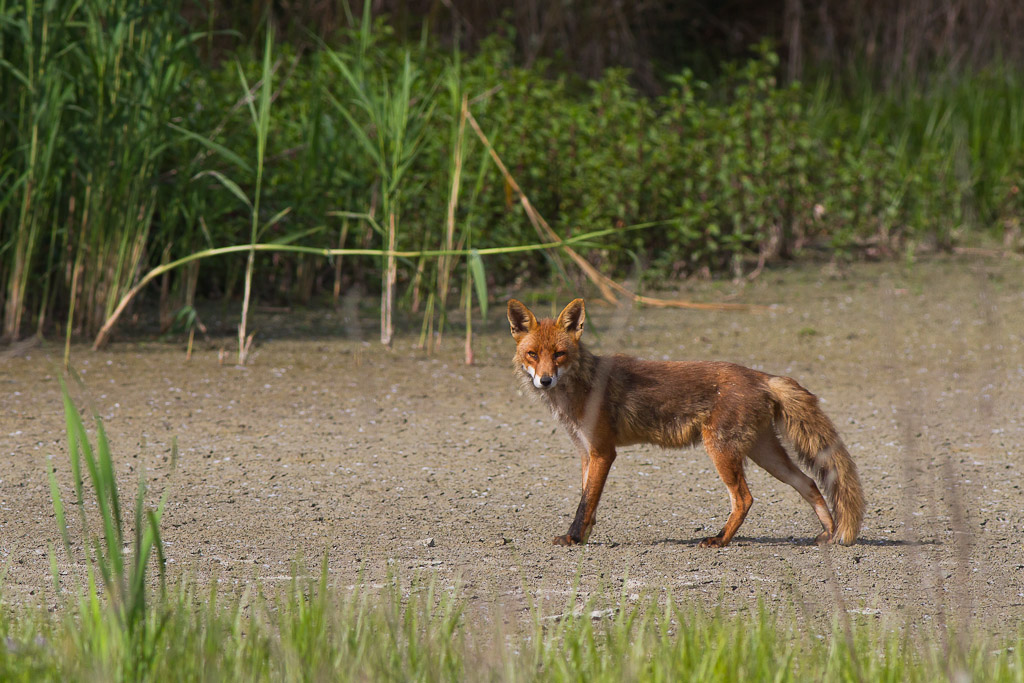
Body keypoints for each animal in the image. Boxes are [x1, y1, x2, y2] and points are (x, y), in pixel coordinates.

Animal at [505, 299, 864, 548]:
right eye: (533, 354)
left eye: (560, 354)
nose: (545, 380)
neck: (580, 386)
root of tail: (760, 375)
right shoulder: (585, 452)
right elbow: (588, 501)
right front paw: (584, 535)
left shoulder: (604, 452)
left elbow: (585, 502)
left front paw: (574, 539)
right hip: (764, 453)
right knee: (809, 483)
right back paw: (828, 532)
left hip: (720, 449)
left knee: (745, 498)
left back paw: (720, 539)